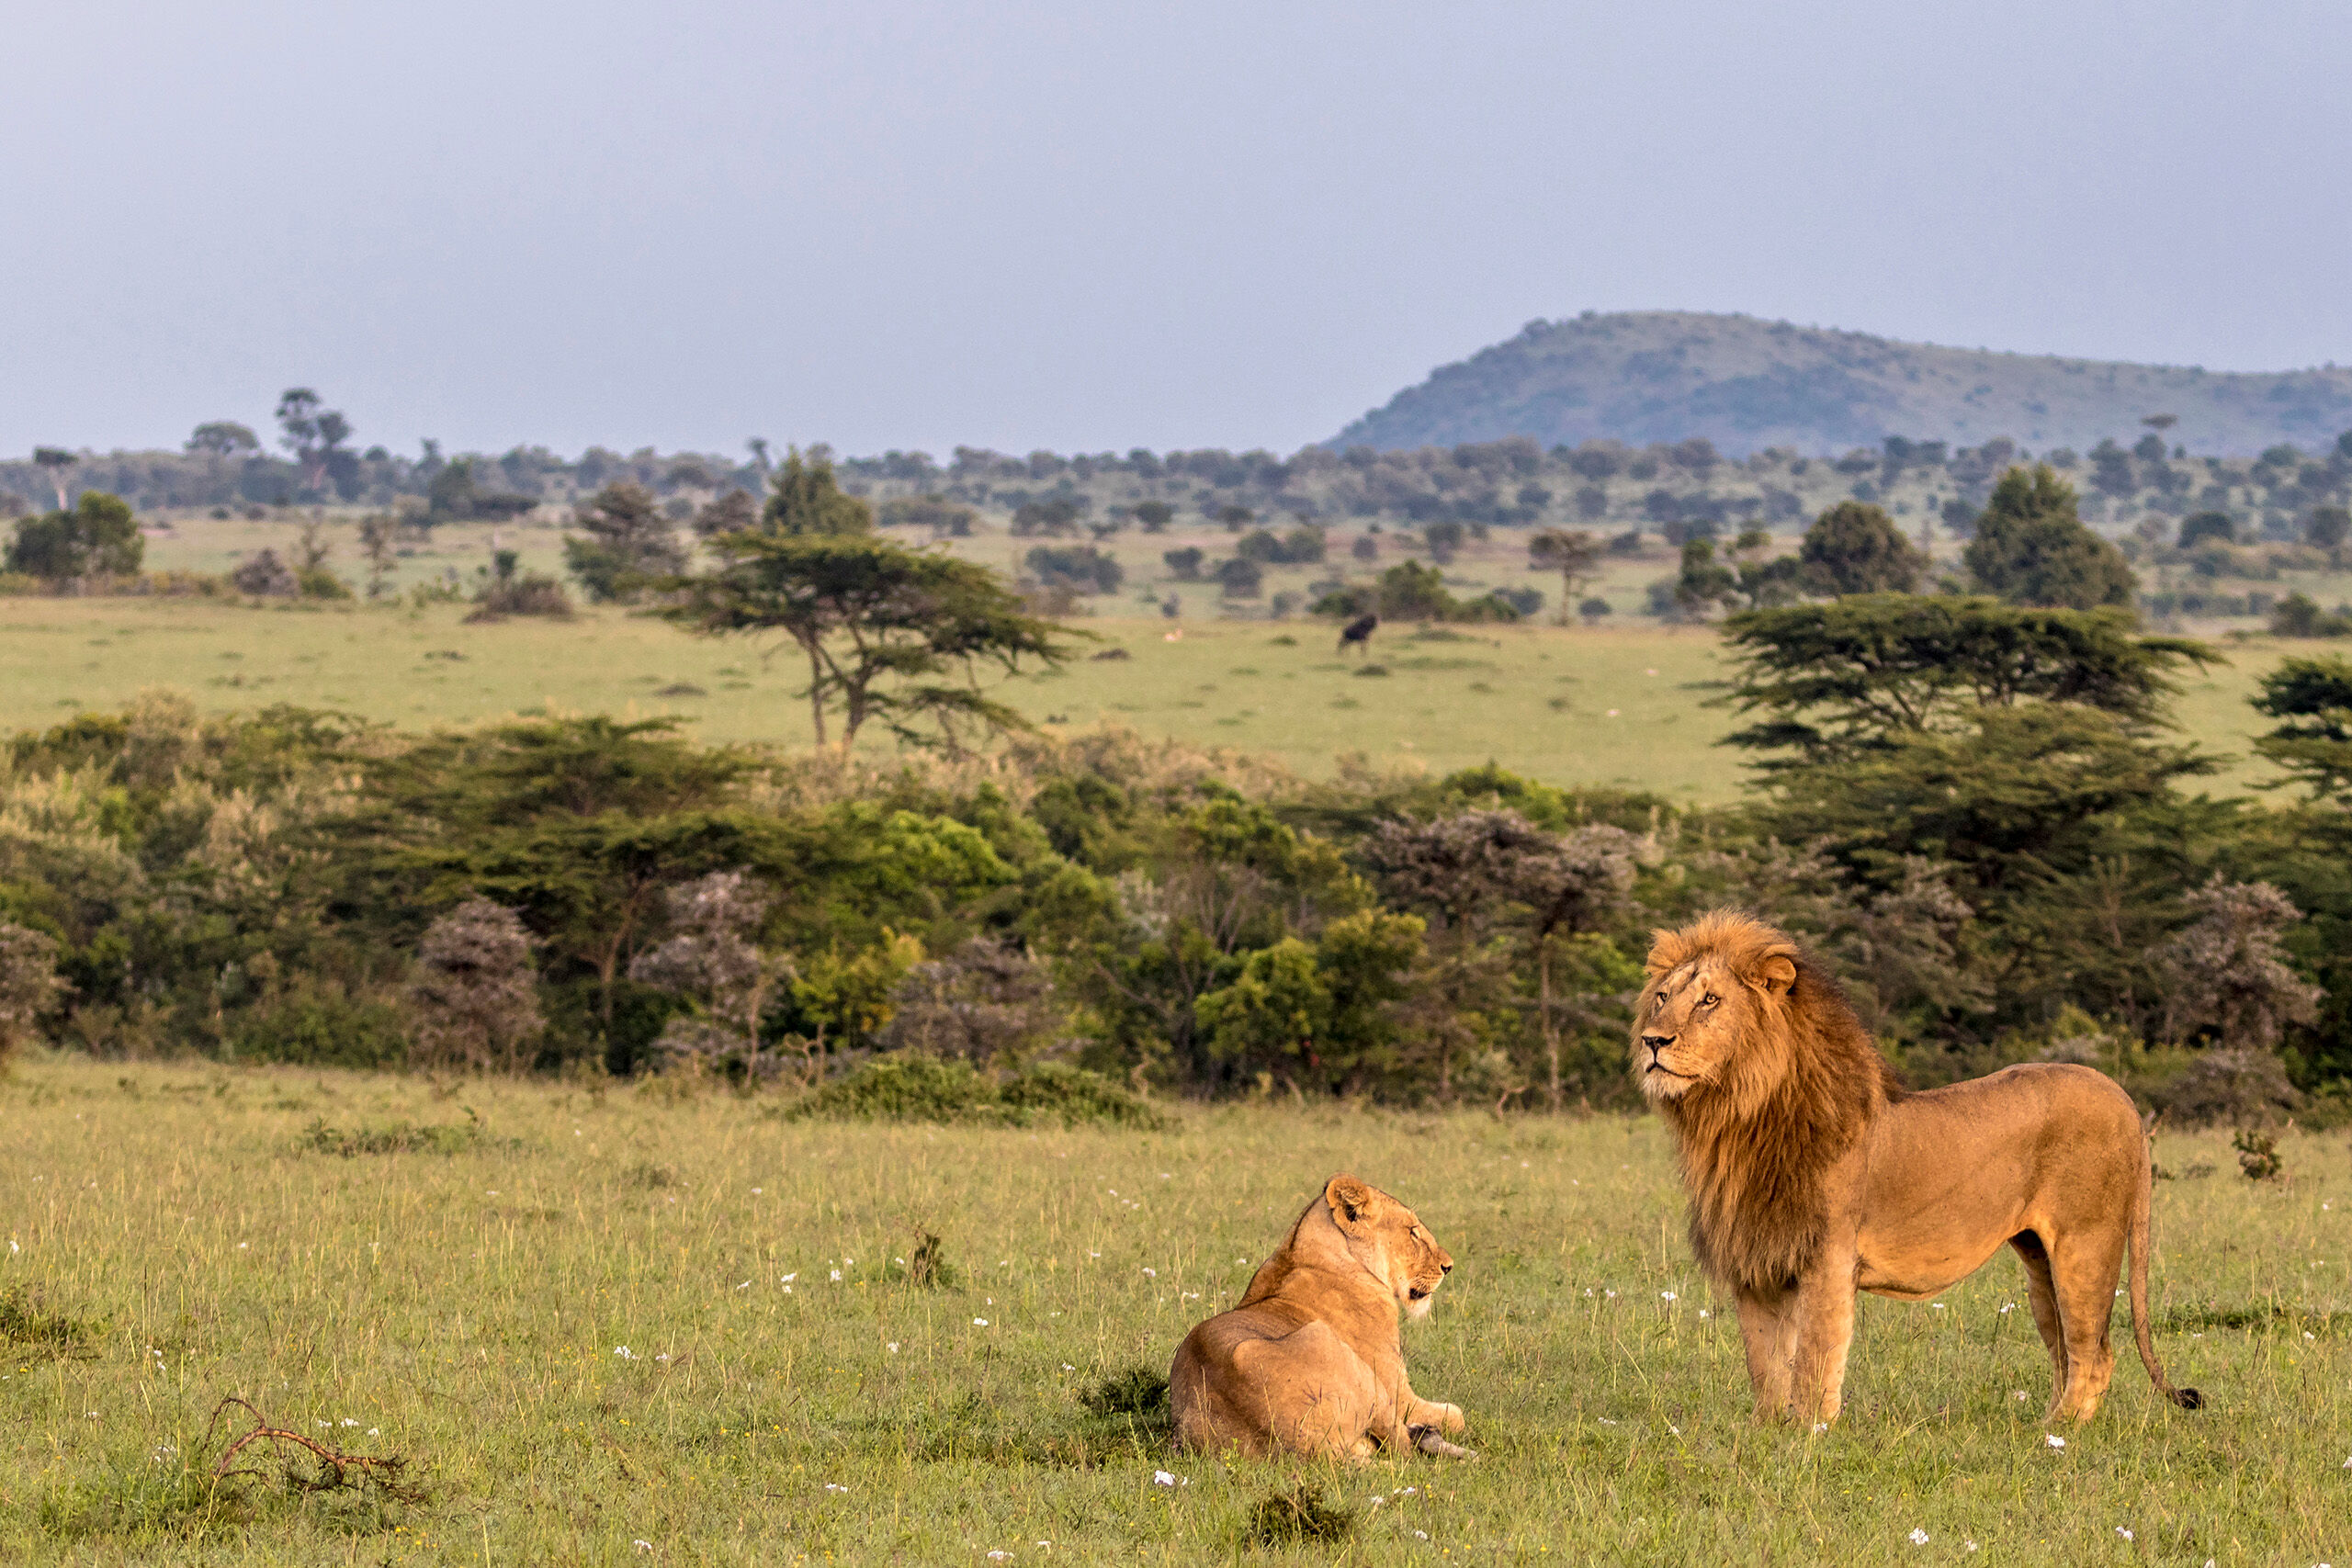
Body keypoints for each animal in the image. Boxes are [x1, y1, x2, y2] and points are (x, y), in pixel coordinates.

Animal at [1169, 1173, 1473, 1461]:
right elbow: (1457, 1415)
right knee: (1403, 1446)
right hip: (1353, 1366)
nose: (1448, 1267)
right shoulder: (1401, 1394)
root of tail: (1312, 1449)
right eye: (1412, 1232)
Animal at [1635, 910, 2202, 1426]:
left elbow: (1815, 1359)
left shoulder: (1828, 1257)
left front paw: (1809, 1434)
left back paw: (2054, 1435)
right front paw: (1766, 1432)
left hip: (2086, 1245)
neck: (1738, 1115)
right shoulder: (1758, 1263)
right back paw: (2046, 1425)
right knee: (2067, 1351)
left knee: (2094, 1353)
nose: (1653, 1041)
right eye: (1662, 998)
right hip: (2040, 1263)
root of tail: (2124, 1099)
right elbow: (1766, 1364)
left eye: (1709, 1000)